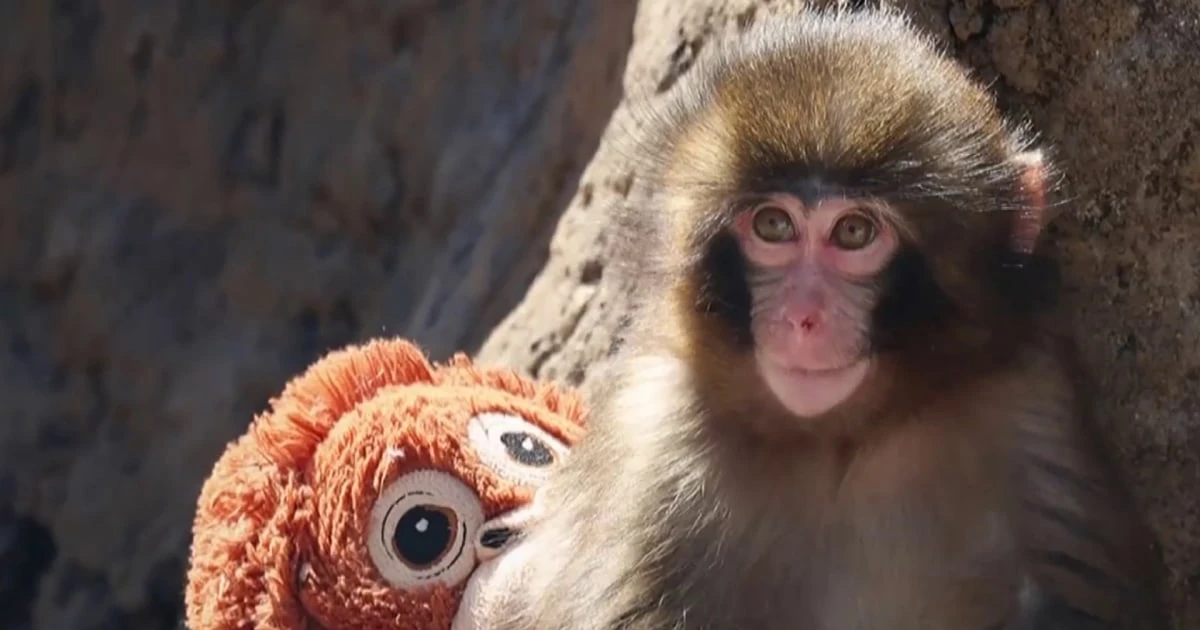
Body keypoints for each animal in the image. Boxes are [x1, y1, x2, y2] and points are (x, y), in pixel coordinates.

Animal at [489, 7, 1168, 630]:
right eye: (773, 225)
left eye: (854, 232)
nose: (803, 318)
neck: (836, 441)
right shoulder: (653, 443)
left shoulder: (1028, 410)